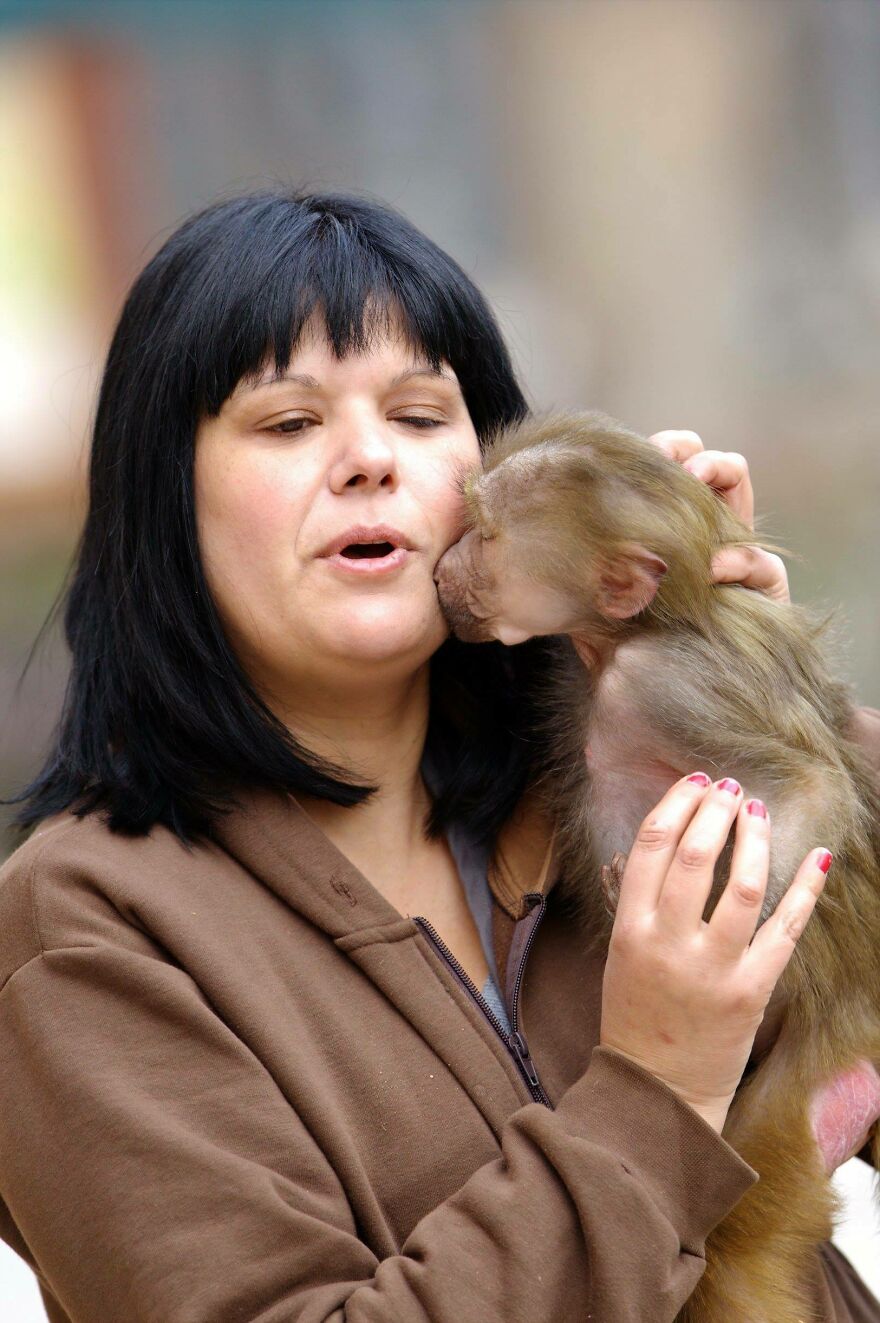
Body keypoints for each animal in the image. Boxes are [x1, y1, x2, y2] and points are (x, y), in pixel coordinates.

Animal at [433, 410, 880, 1323]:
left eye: (483, 535)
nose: (442, 564)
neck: (643, 628)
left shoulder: (671, 681)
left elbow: (812, 786)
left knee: (738, 1249)